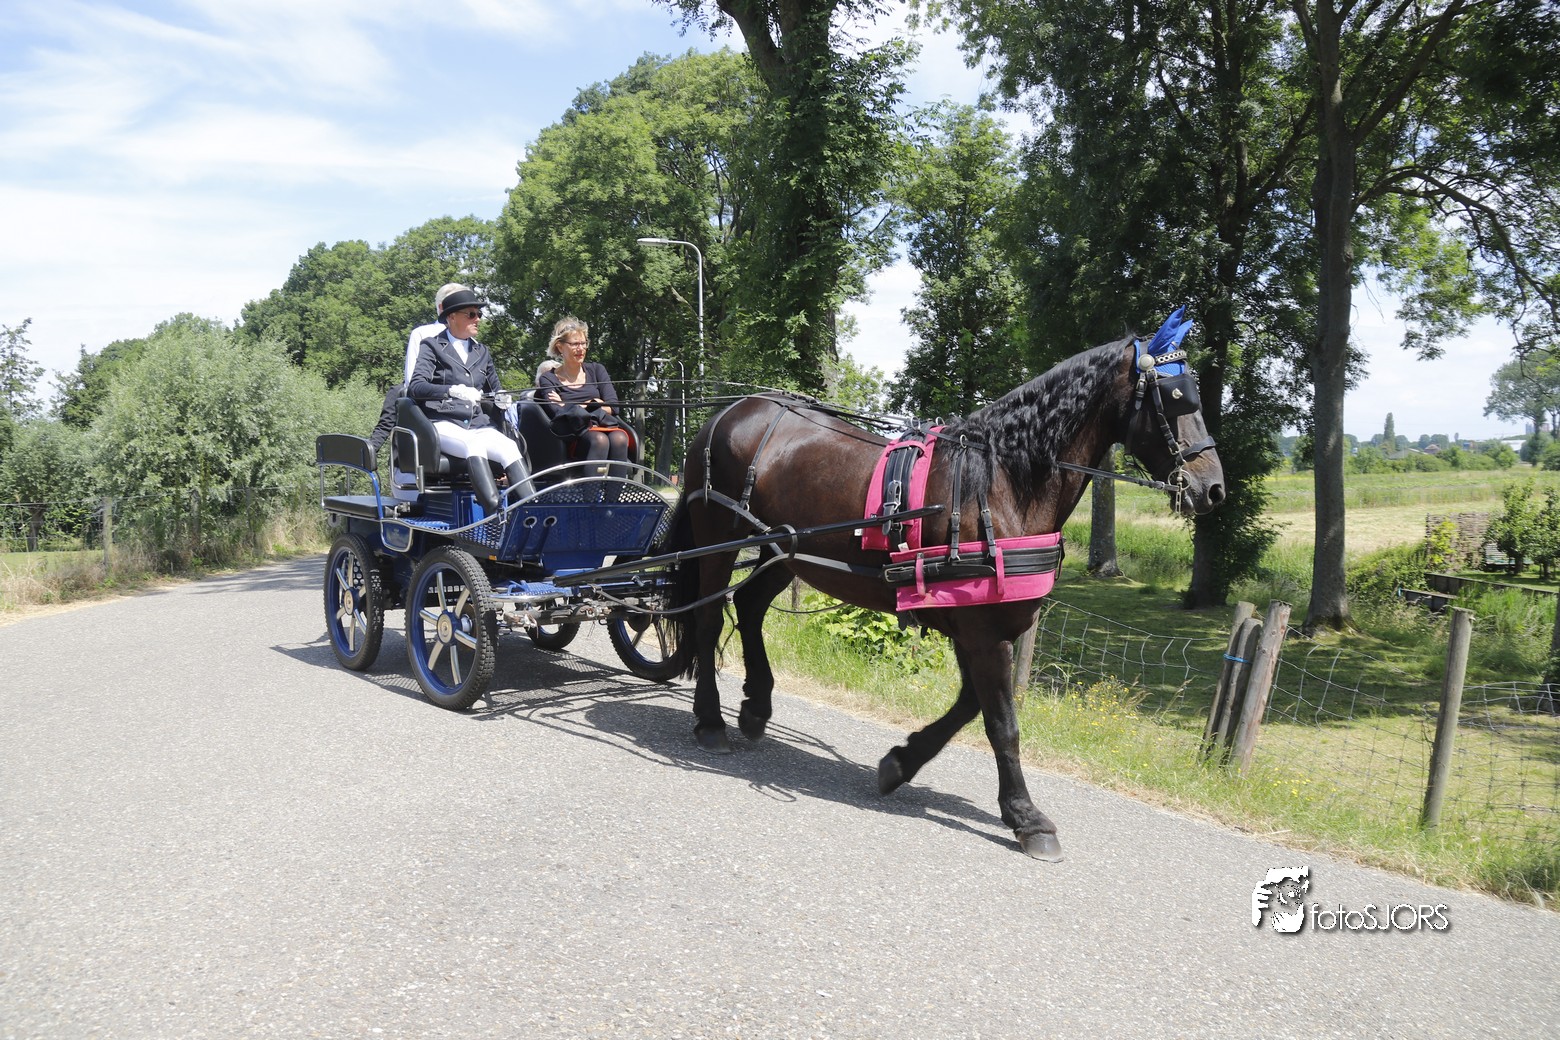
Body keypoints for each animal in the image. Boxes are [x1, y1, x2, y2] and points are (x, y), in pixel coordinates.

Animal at [662, 314, 1226, 860]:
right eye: (1178, 397)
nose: (1213, 488)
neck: (1000, 482)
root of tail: (731, 411)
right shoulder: (981, 629)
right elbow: (1002, 723)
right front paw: (1027, 817)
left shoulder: (976, 624)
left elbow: (971, 706)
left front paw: (900, 762)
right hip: (718, 538)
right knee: (708, 618)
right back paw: (710, 720)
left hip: (786, 550)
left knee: (749, 605)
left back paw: (757, 706)